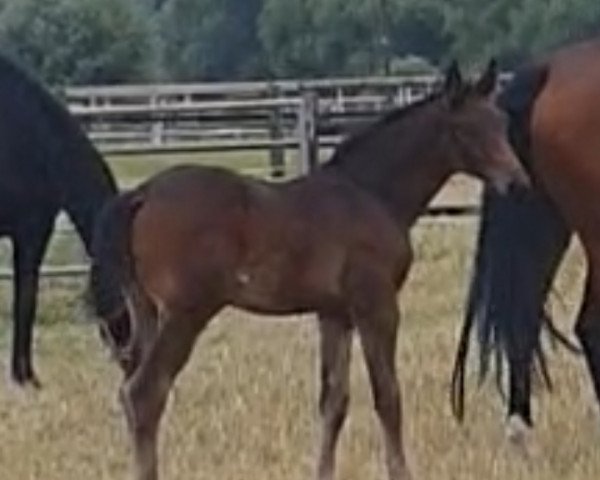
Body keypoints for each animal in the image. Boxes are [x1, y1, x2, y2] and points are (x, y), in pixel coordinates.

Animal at [86, 62, 528, 480]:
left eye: (501, 123)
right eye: (467, 129)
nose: (518, 183)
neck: (369, 193)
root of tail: (142, 194)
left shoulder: (334, 313)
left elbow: (334, 400)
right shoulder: (376, 306)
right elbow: (387, 395)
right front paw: (401, 471)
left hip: (146, 311)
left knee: (132, 390)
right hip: (185, 314)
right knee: (145, 393)